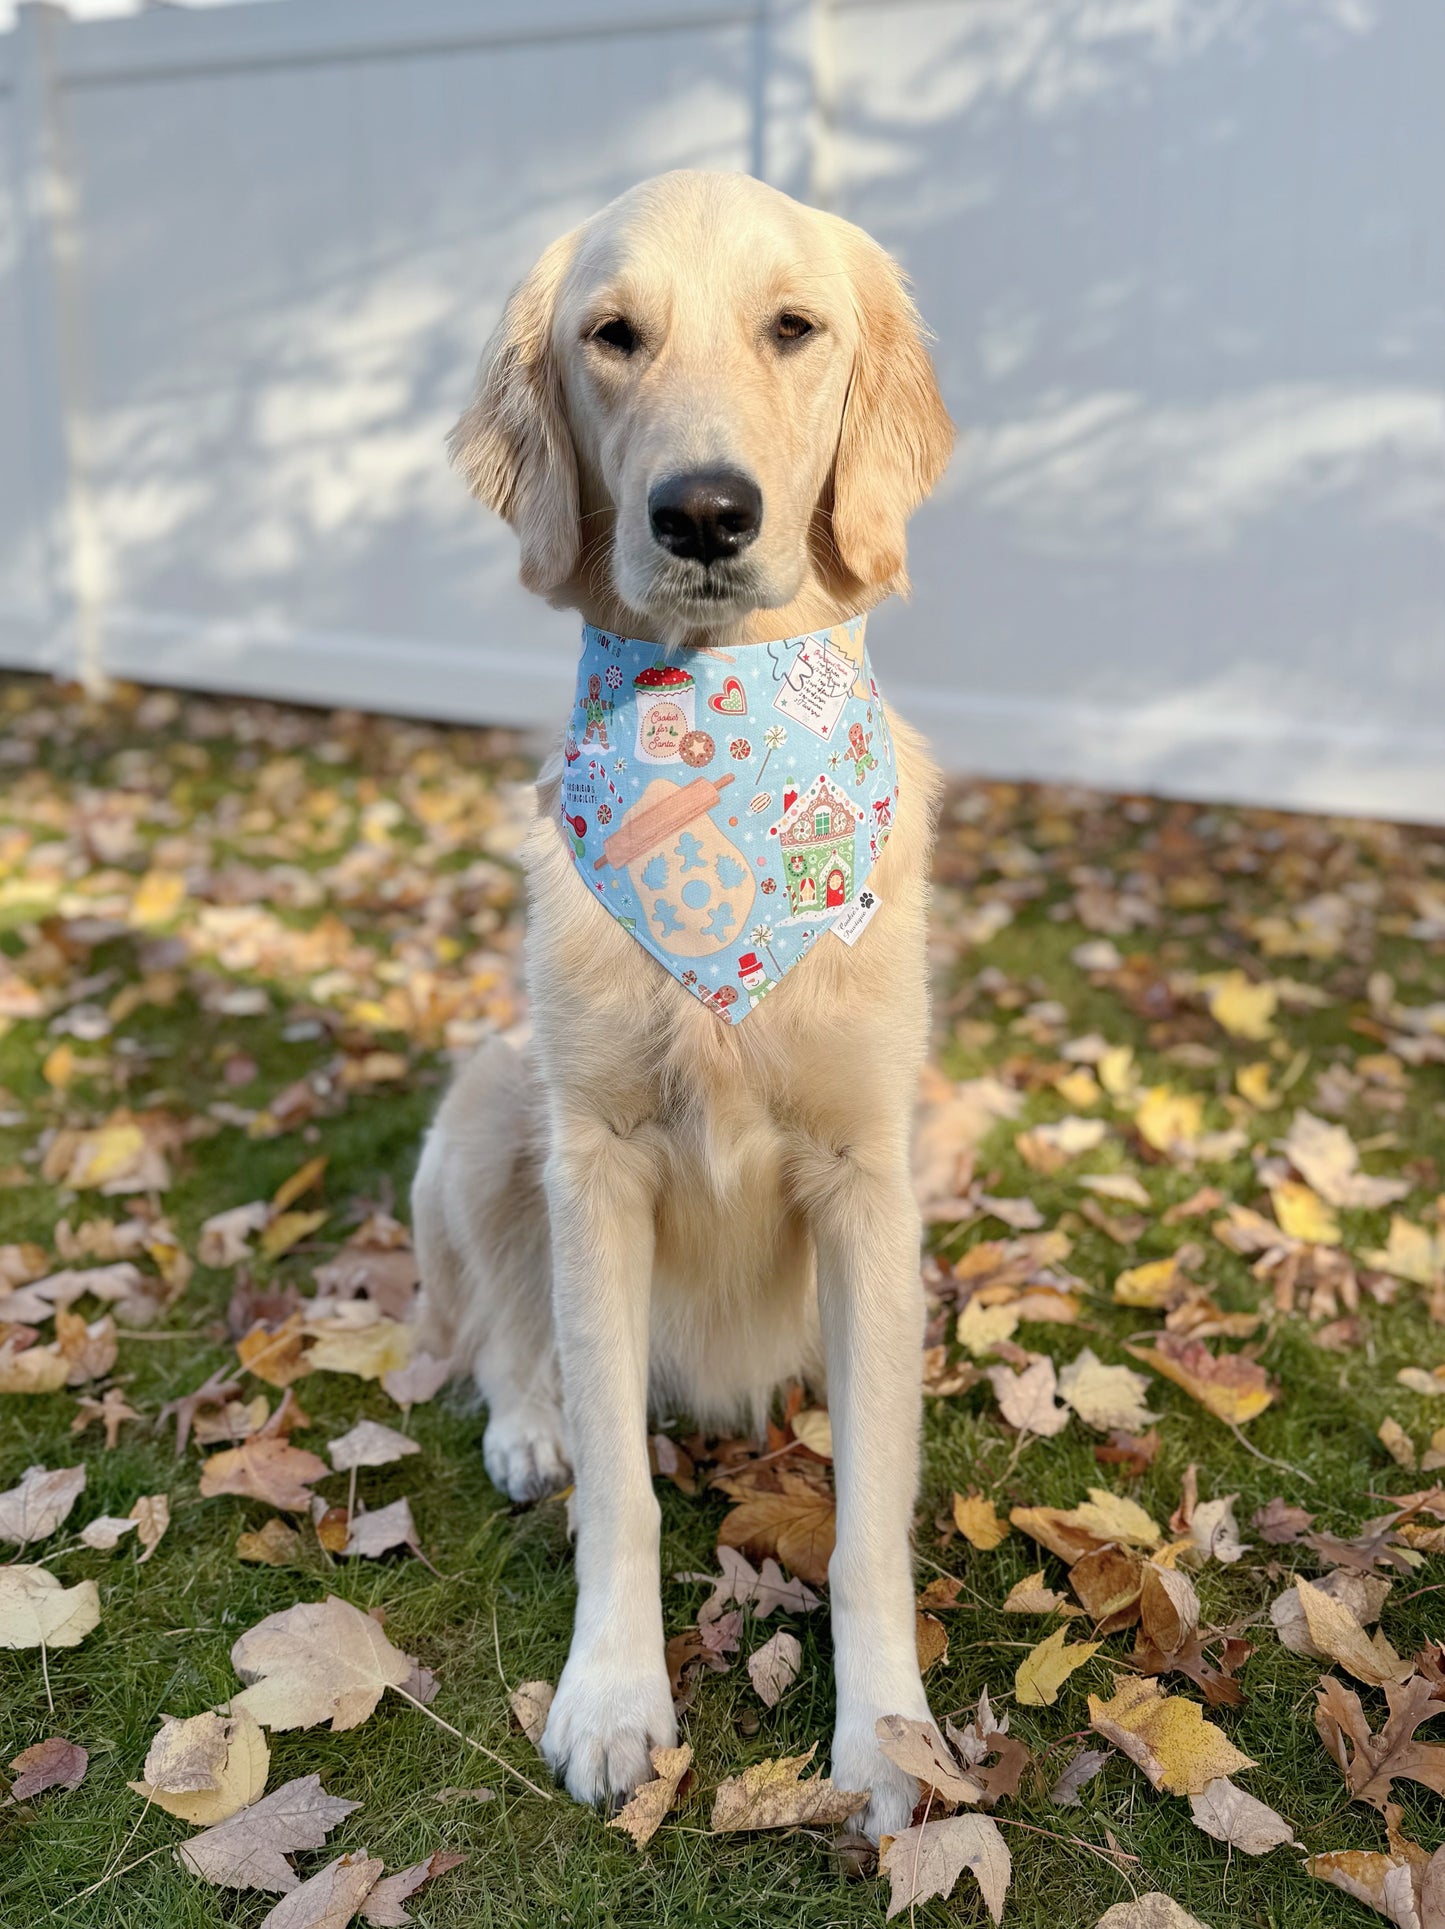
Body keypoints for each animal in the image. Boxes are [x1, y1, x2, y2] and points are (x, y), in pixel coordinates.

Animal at [410, 169, 953, 1836]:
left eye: (794, 327)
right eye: (613, 335)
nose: (704, 513)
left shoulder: (869, 1179)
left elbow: (869, 1513)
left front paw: (885, 1735)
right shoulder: (592, 1159)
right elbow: (621, 1488)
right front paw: (610, 1698)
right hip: (488, 1103)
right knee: (504, 1333)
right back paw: (524, 1423)